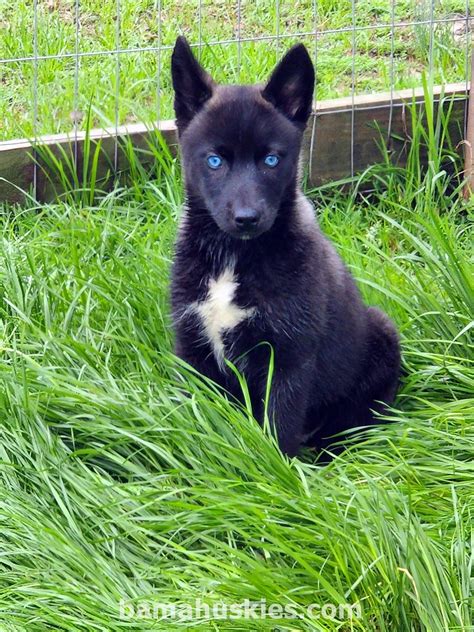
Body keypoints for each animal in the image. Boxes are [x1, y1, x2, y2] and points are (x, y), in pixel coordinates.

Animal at [170, 37, 400, 456]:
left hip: (381, 336)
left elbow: (278, 431)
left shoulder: (290, 357)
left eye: (272, 160)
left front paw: (276, 470)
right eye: (214, 161)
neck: (234, 258)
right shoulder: (192, 346)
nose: (247, 218)